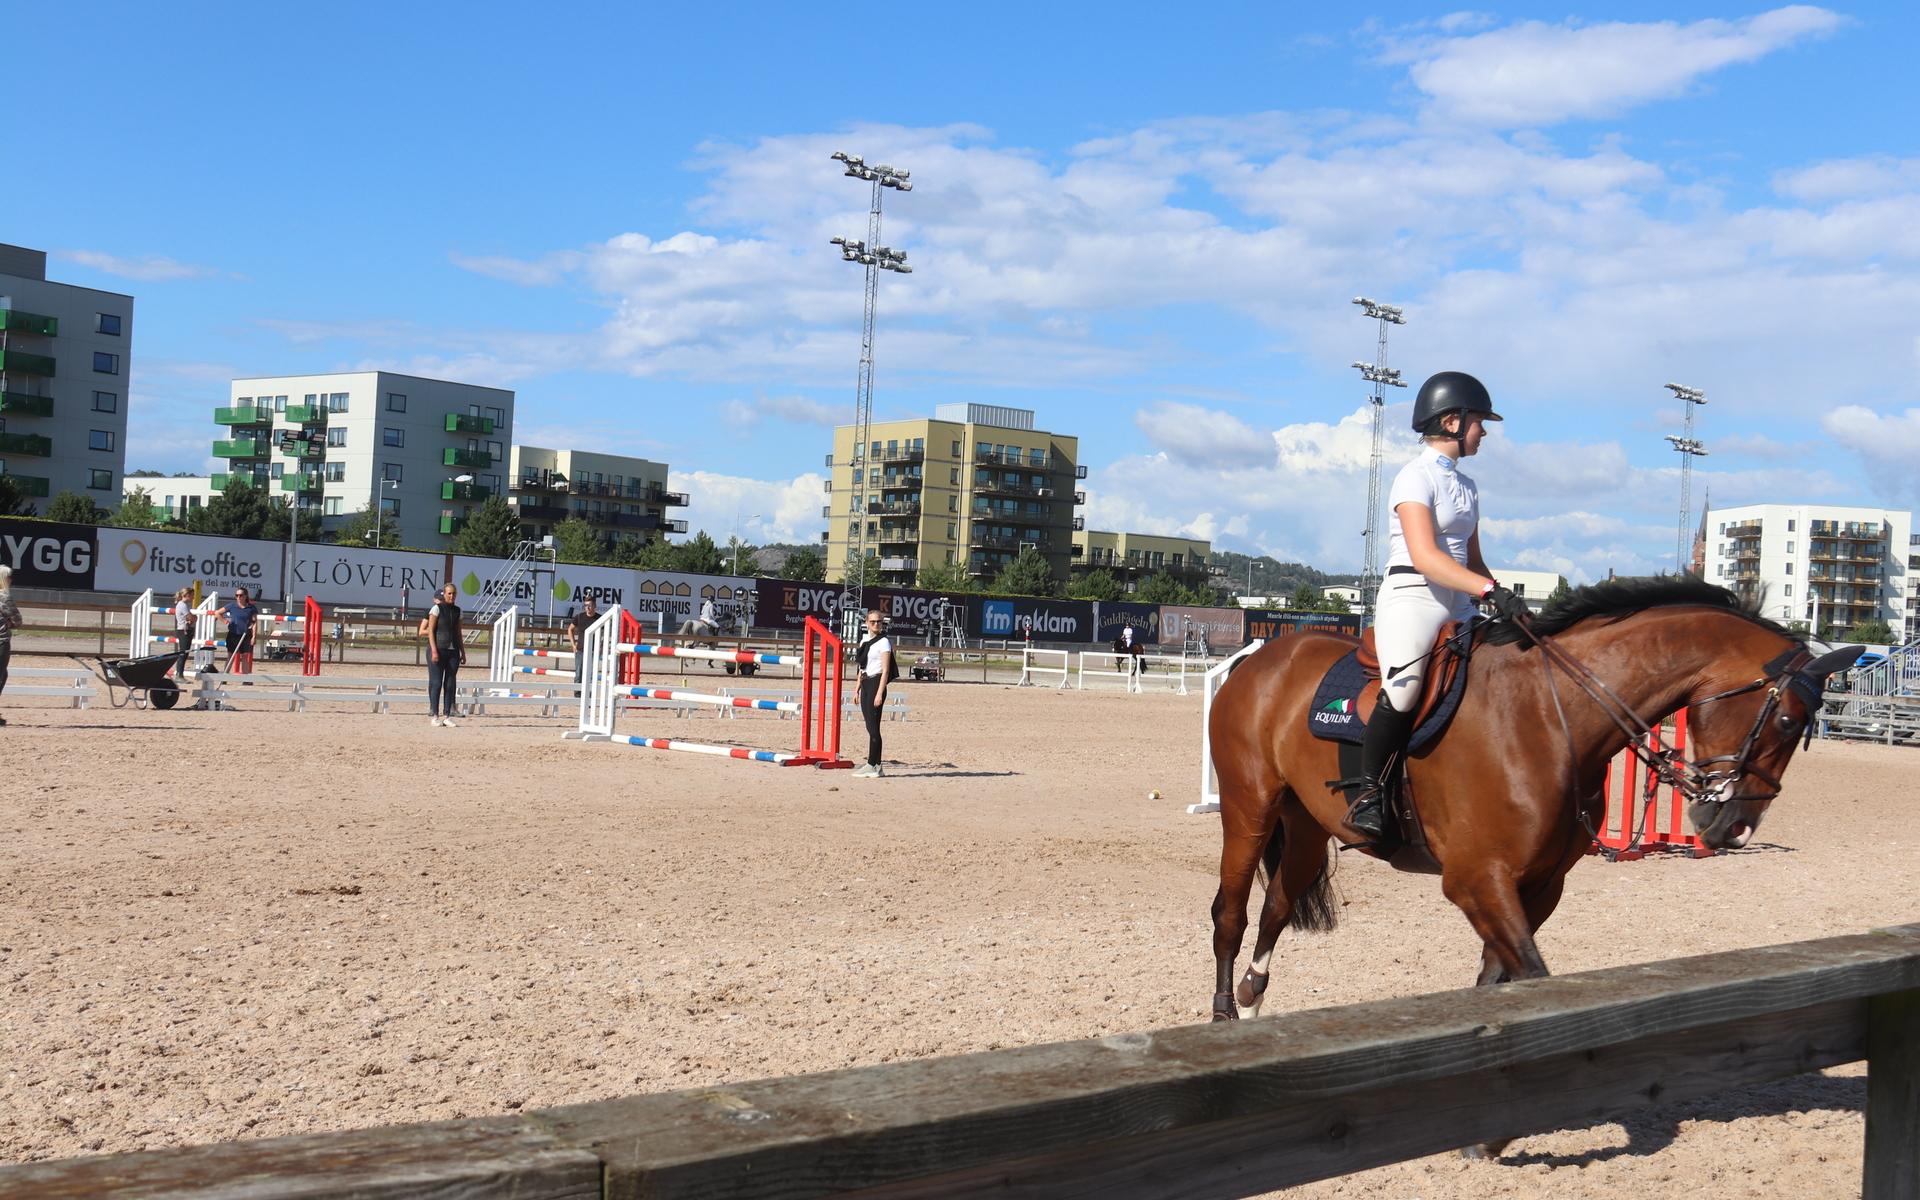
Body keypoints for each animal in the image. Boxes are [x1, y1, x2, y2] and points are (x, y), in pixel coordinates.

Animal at [1205, 576, 1850, 1021]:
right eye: (1787, 720)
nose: (1734, 828)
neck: (1552, 712)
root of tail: (1263, 655)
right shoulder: (1477, 880)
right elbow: (1534, 976)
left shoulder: (1539, 886)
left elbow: (1501, 982)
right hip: (1248, 810)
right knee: (1230, 913)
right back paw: (1224, 1013)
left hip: (1307, 824)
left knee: (1277, 905)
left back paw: (1253, 1001)